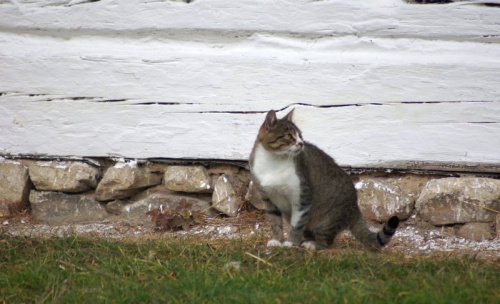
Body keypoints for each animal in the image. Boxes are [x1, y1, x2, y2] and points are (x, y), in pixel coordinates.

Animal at [249, 108, 398, 251]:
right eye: (288, 136)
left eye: (300, 135)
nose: (302, 143)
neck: (273, 163)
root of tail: (354, 208)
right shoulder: (268, 200)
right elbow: (275, 223)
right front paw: (277, 241)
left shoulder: (302, 198)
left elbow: (296, 226)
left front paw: (291, 243)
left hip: (326, 220)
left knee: (327, 242)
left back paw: (312, 245)